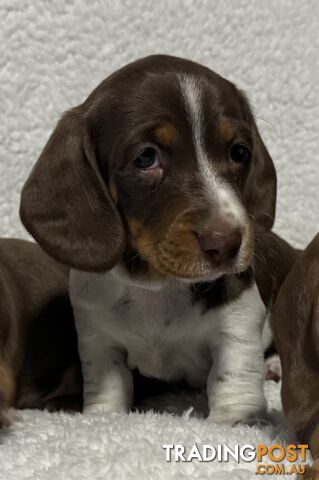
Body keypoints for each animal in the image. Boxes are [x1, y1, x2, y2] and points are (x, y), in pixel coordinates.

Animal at [21, 55, 278, 424]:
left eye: (239, 152)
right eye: (146, 158)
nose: (228, 243)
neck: (158, 288)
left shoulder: (239, 323)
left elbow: (234, 382)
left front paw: (233, 423)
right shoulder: (97, 337)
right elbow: (107, 387)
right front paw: (103, 417)